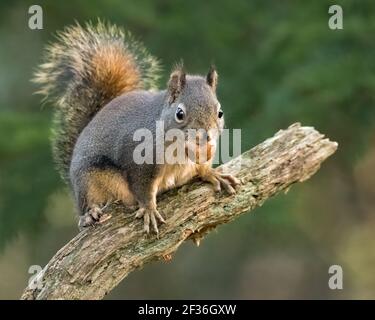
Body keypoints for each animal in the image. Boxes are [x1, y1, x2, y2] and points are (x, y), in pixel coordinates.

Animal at [35, 20, 241, 235]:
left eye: (220, 113)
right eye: (180, 114)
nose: (206, 136)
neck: (179, 146)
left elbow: (202, 167)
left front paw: (214, 174)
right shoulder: (140, 163)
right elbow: (143, 190)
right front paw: (149, 209)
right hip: (89, 179)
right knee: (87, 203)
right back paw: (89, 213)